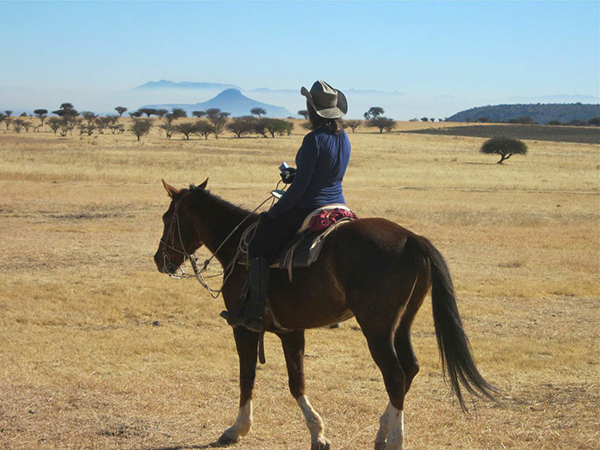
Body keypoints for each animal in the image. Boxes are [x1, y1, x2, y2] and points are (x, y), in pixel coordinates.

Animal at [155, 179, 496, 450]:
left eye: (167, 218)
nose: (160, 260)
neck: (239, 248)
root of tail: (413, 239)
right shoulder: (291, 331)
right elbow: (297, 381)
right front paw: (317, 433)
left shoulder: (245, 328)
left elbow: (247, 376)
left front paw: (237, 429)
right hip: (402, 324)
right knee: (410, 368)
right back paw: (382, 432)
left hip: (377, 328)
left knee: (396, 375)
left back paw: (395, 441)